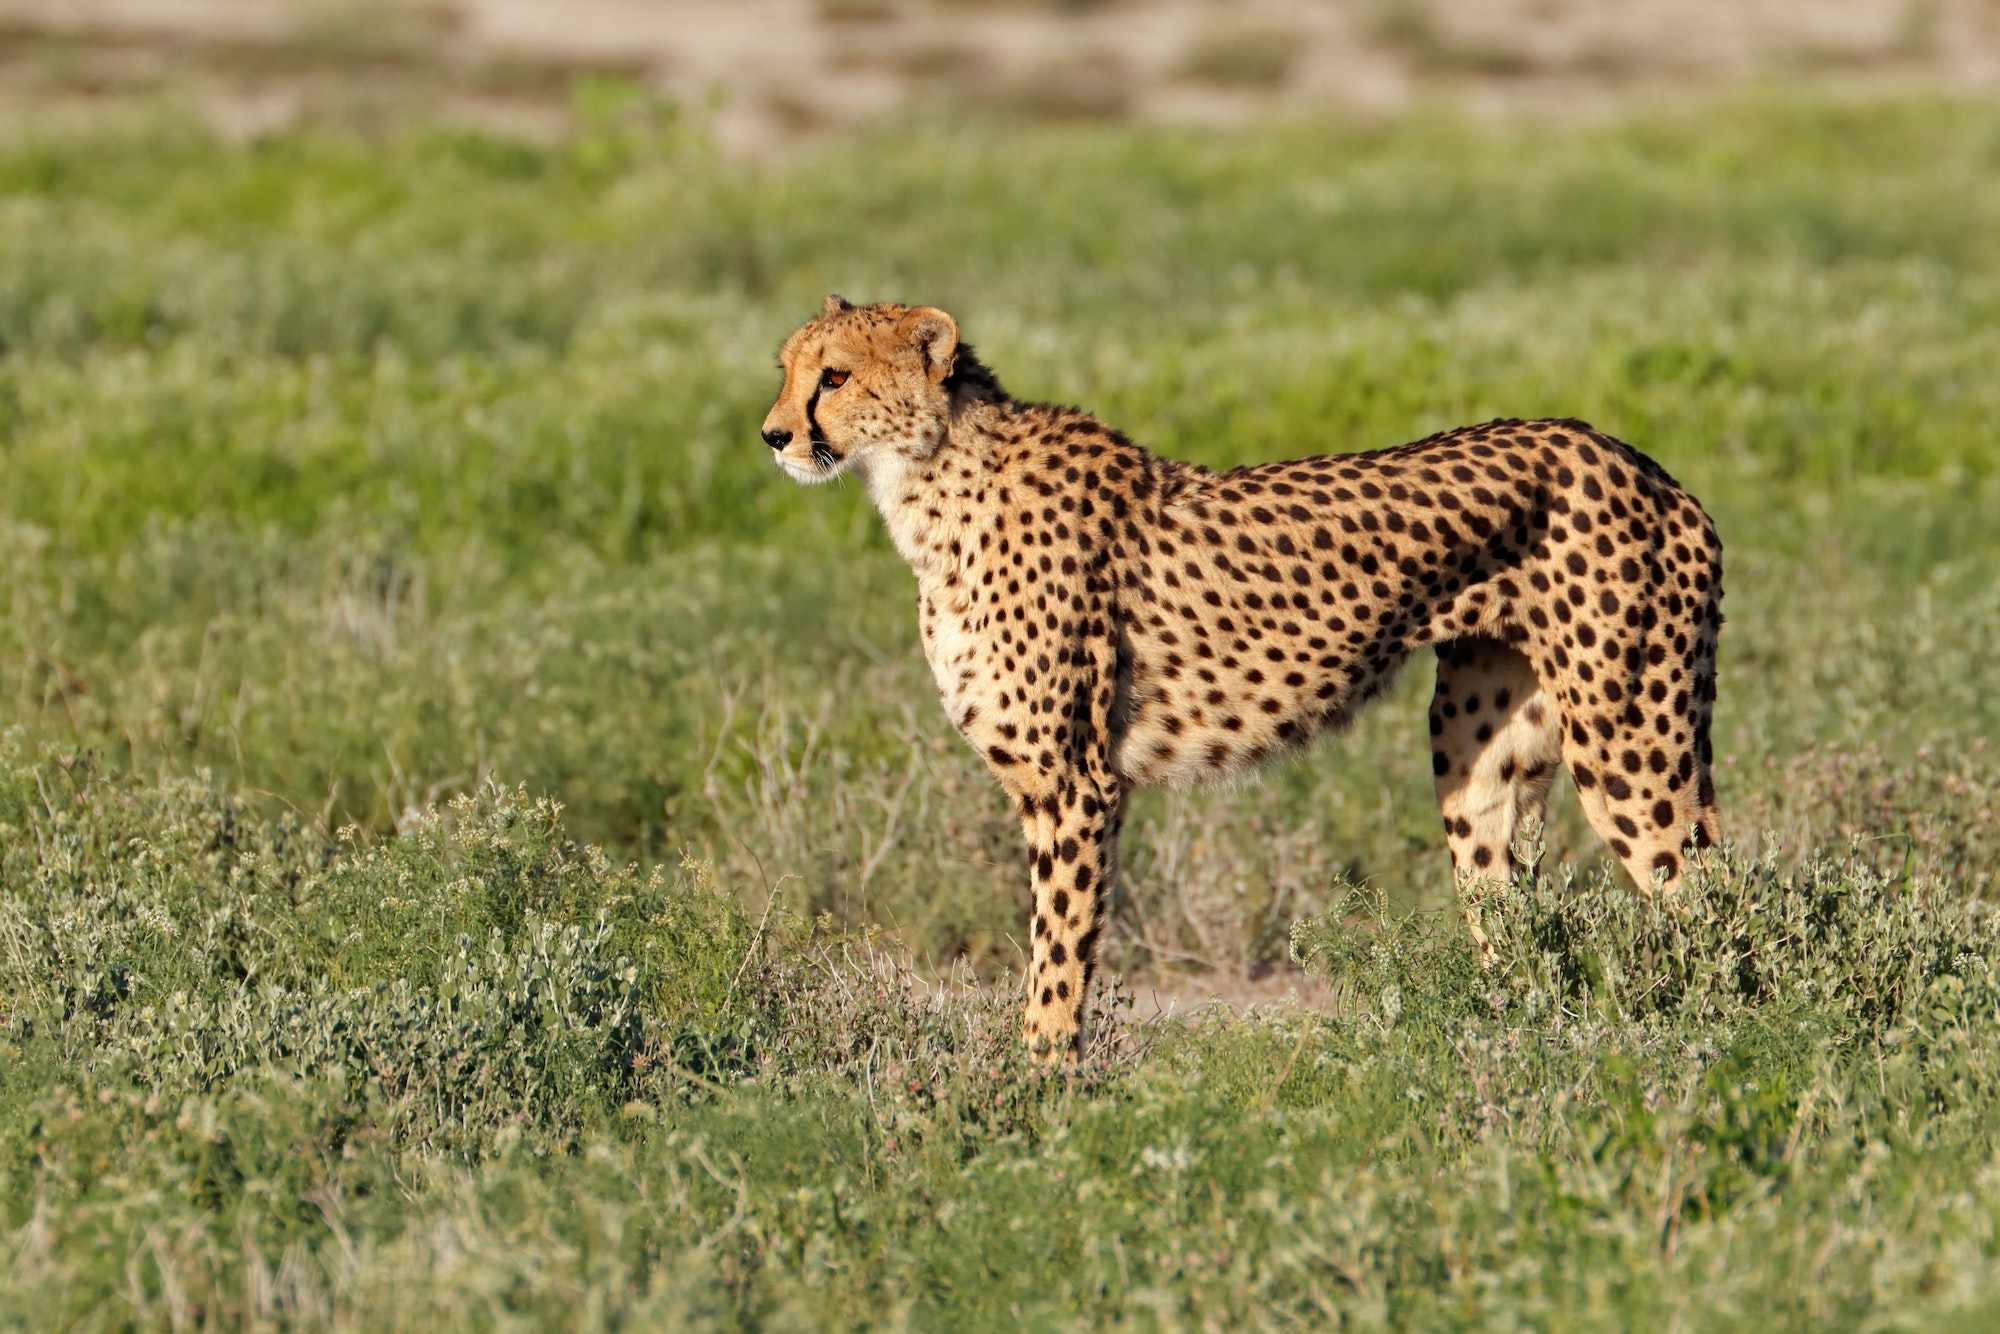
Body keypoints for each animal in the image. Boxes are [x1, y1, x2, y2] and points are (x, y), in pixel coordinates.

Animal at [756, 298, 1728, 1056]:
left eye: (835, 377)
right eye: (788, 370)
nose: (773, 436)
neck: (931, 483)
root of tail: (1637, 458)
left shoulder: (1074, 785)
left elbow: (1057, 953)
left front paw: (1038, 1093)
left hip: (1628, 740)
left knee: (1709, 898)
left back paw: (1722, 1045)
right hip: (1479, 748)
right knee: (1516, 917)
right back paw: (1500, 1044)